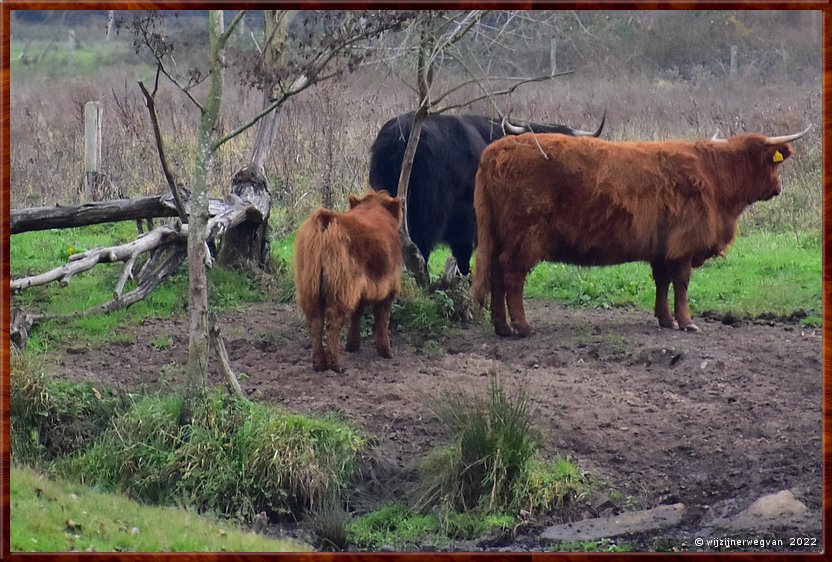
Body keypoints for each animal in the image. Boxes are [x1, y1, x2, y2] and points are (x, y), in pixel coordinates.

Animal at [296, 191, 404, 372]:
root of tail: (327, 218)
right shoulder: (389, 284)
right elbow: (382, 317)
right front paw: (385, 351)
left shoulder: (362, 287)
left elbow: (357, 312)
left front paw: (352, 345)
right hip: (341, 288)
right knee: (333, 320)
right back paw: (335, 364)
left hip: (309, 286)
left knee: (315, 320)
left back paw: (319, 363)